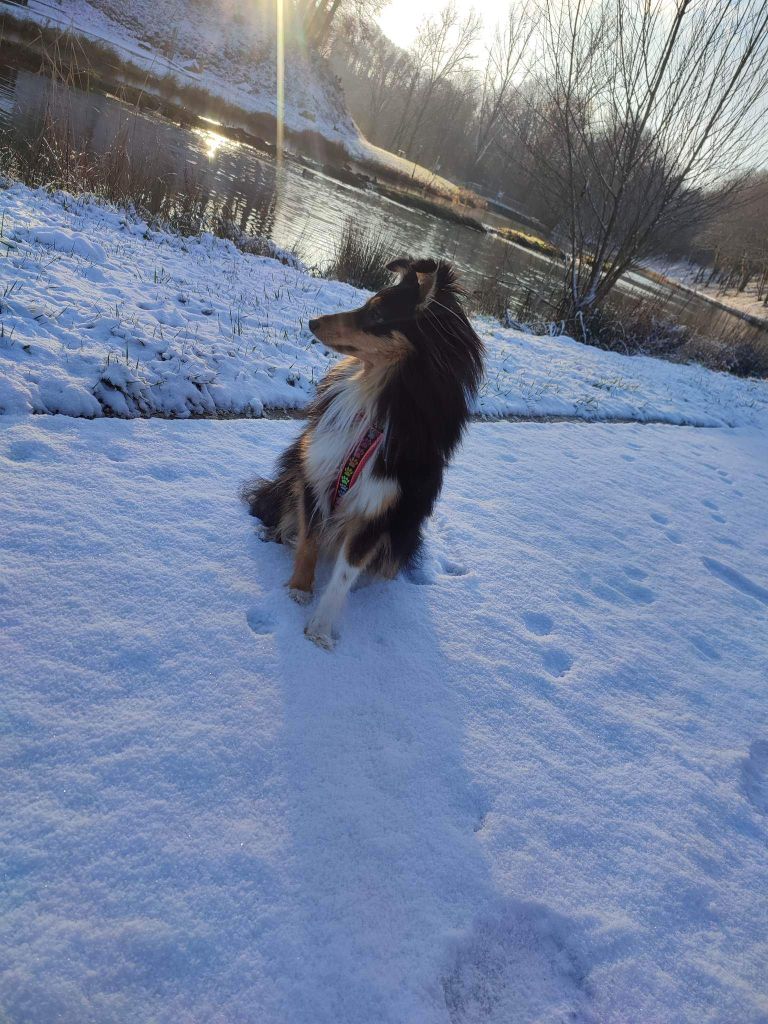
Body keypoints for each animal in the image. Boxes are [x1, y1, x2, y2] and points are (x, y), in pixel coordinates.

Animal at [243, 260, 483, 651]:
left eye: (376, 314)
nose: (312, 322)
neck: (375, 397)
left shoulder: (380, 510)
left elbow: (345, 573)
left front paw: (320, 630)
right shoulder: (317, 472)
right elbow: (310, 540)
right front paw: (298, 590)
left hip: (403, 534)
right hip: (290, 476)